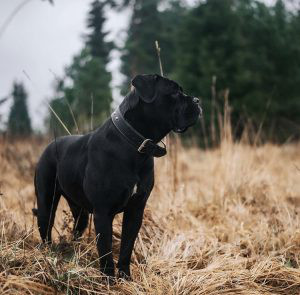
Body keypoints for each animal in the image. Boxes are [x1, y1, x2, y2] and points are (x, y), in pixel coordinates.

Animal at [34, 73, 200, 280]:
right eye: (175, 92)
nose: (197, 100)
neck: (134, 146)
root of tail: (50, 145)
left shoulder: (135, 209)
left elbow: (127, 246)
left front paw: (125, 276)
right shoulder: (103, 212)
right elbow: (105, 249)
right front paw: (109, 279)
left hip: (80, 211)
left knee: (77, 228)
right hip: (46, 202)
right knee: (46, 229)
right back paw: (49, 257)